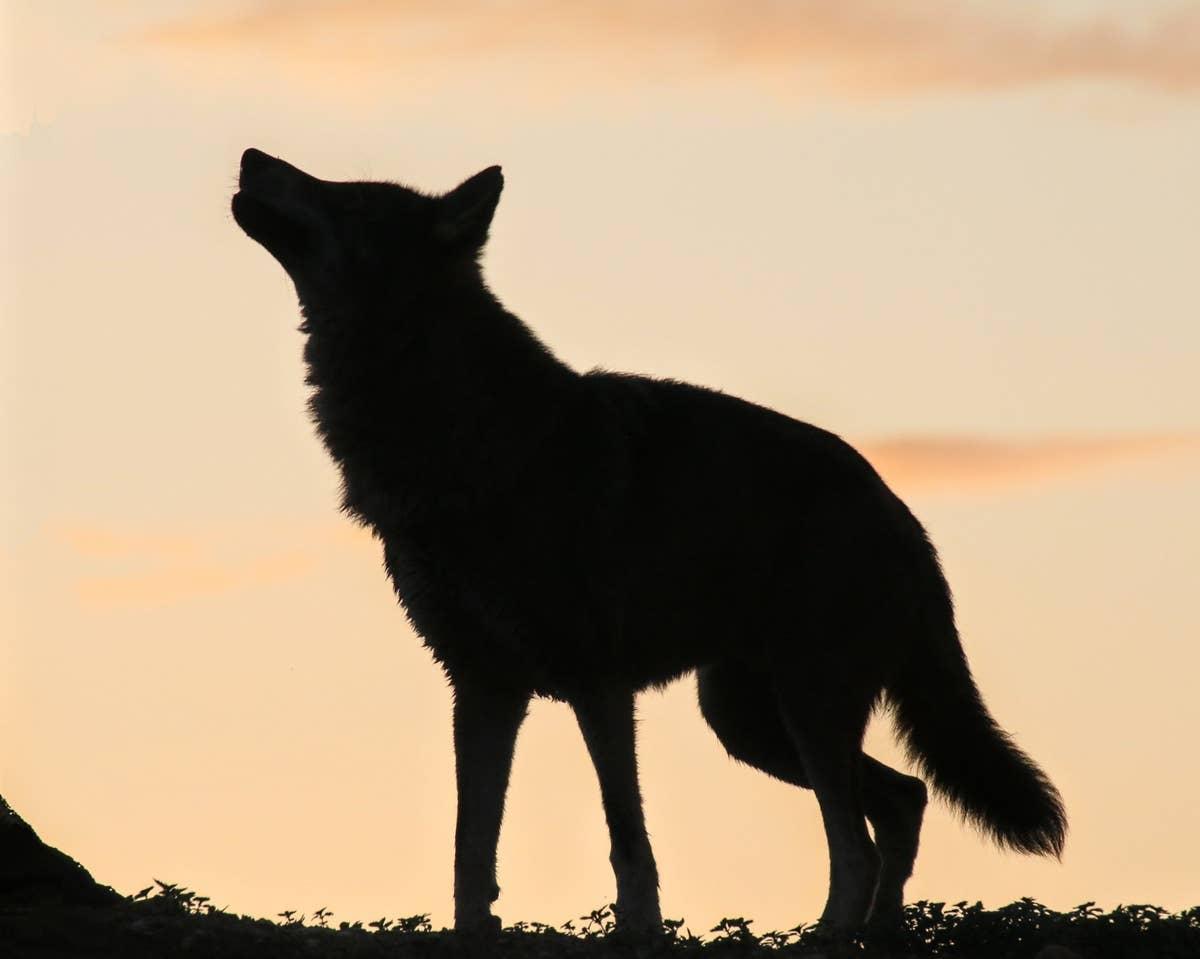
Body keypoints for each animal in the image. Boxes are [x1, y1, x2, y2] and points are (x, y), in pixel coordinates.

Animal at [231, 148, 1066, 936]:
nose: (249, 156)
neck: (457, 430)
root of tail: (902, 513)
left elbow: (626, 834)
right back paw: (877, 932)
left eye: (347, 195)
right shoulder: (482, 685)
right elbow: (472, 846)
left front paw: (640, 929)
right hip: (749, 723)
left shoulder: (595, 680)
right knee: (903, 798)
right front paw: (474, 932)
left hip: (804, 709)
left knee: (855, 837)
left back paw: (830, 936)